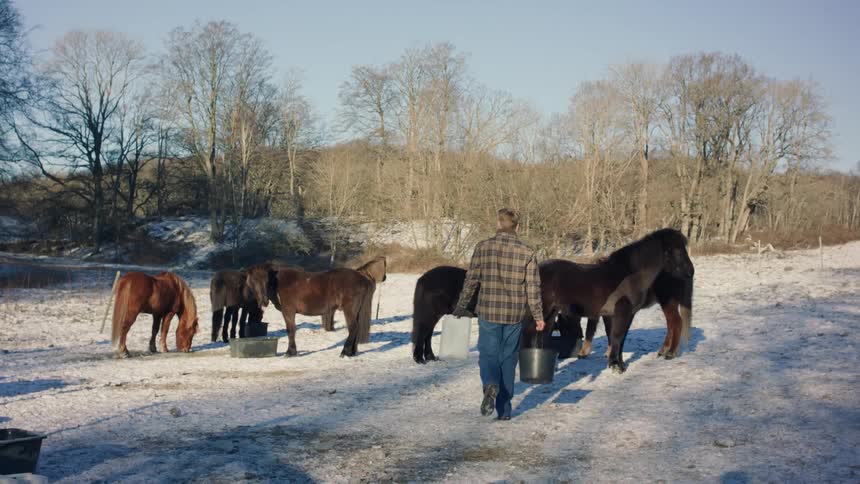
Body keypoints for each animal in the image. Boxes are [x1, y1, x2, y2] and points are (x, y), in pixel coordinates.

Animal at [525, 228, 694, 373]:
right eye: (679, 250)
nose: (690, 271)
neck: (629, 276)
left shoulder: (625, 315)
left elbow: (619, 339)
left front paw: (619, 364)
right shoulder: (620, 313)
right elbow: (616, 337)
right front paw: (615, 366)